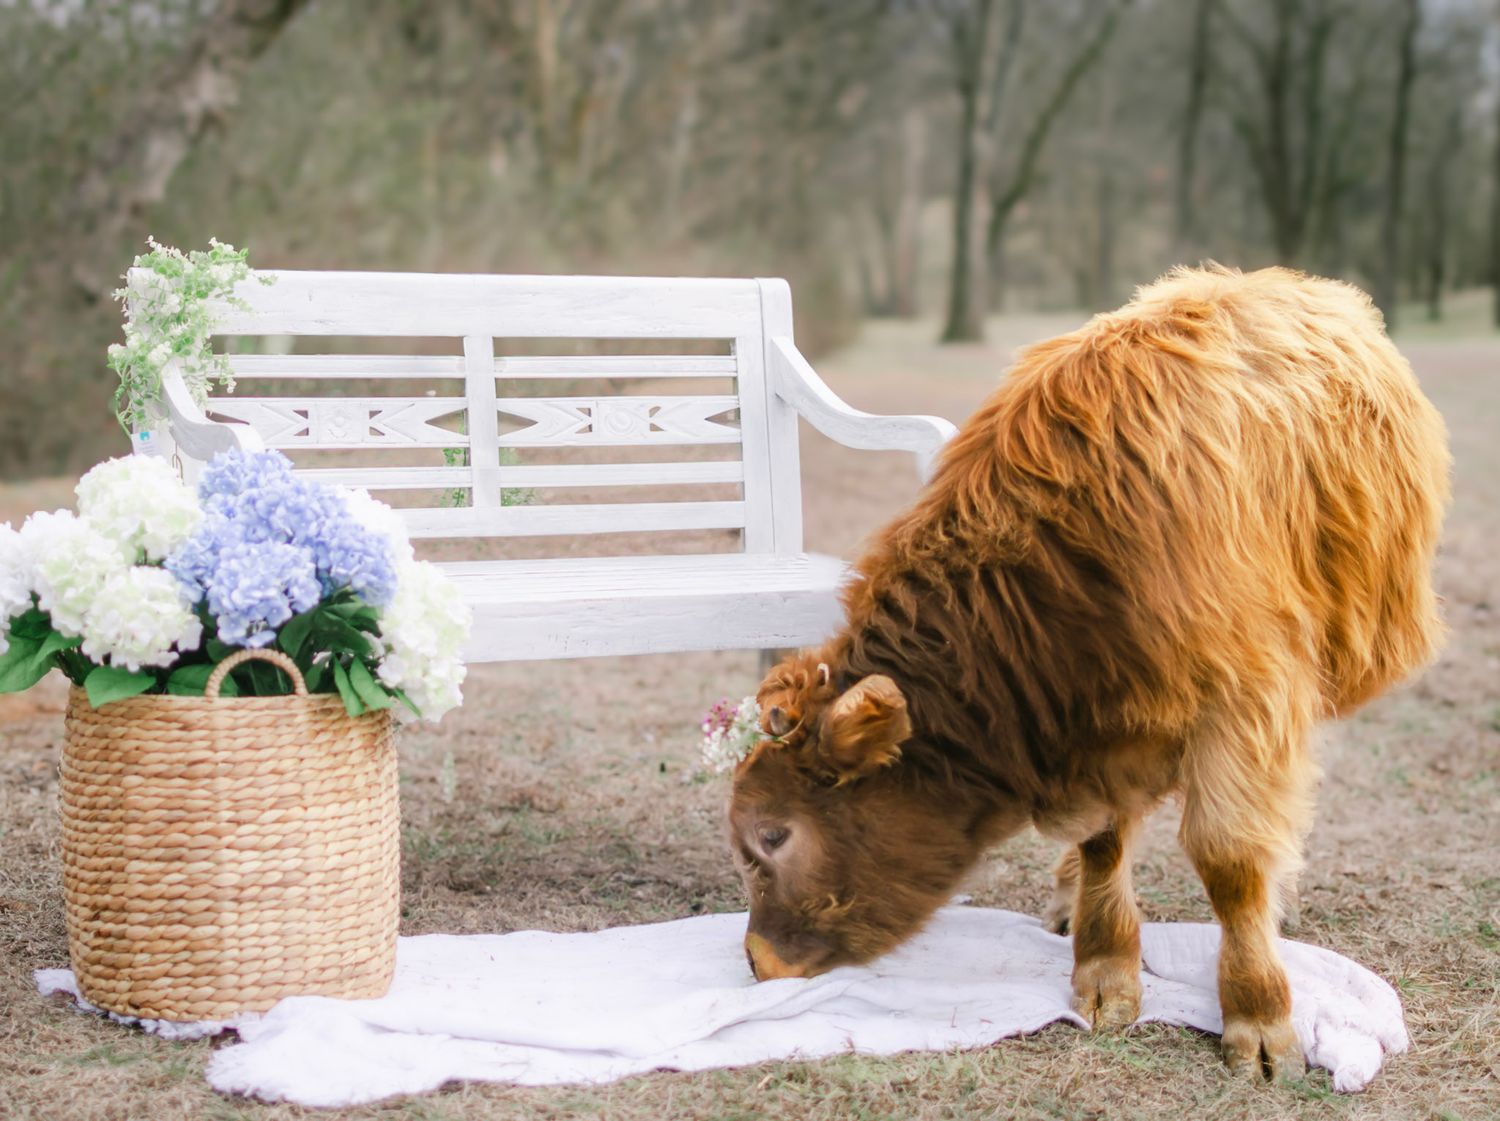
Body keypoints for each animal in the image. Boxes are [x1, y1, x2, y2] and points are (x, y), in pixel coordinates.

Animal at [729, 266, 1449, 1080]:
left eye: (774, 835)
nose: (755, 959)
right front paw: (1104, 967)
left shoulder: (1247, 699)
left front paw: (1258, 1012)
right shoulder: (1098, 730)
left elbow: (1231, 858)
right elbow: (1105, 840)